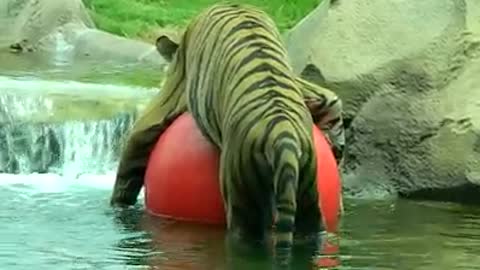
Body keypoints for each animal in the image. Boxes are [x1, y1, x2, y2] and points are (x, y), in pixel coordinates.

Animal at [110, 2, 344, 264]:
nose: (338, 149)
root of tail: (283, 136)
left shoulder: (170, 96)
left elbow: (134, 147)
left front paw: (118, 206)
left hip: (241, 192)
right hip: (307, 191)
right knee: (310, 227)